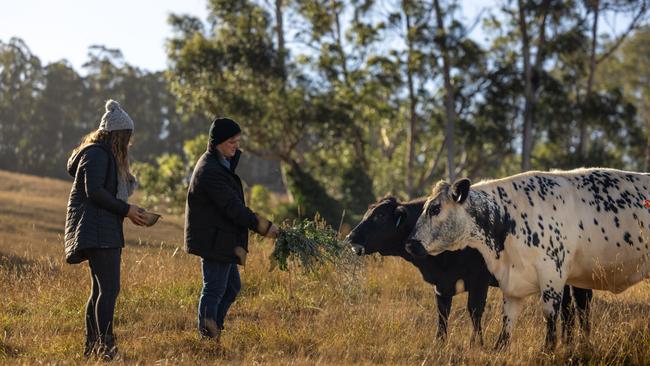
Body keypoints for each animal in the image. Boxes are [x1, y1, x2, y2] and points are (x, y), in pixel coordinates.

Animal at [346, 196, 588, 344]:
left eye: (380, 216)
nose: (350, 237)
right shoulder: (441, 285)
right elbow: (442, 314)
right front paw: (439, 342)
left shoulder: (479, 281)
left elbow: (474, 311)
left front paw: (476, 343)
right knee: (568, 308)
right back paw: (570, 341)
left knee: (580, 305)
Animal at [404, 169, 648, 348]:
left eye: (435, 209)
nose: (410, 243)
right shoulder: (512, 285)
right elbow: (506, 325)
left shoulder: (552, 276)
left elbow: (551, 317)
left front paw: (548, 349)